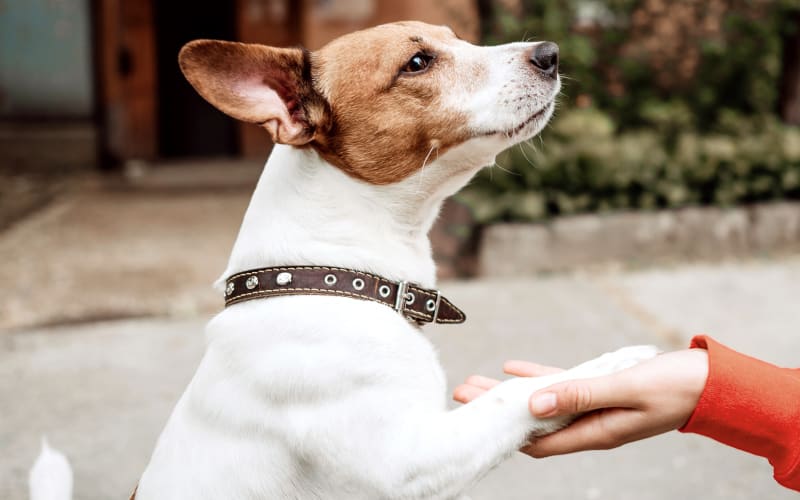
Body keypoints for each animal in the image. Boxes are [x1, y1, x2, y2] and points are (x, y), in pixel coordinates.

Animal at [29, 20, 656, 500]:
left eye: (458, 38)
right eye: (418, 62)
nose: (550, 54)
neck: (327, 277)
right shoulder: (412, 461)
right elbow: (513, 395)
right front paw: (611, 365)